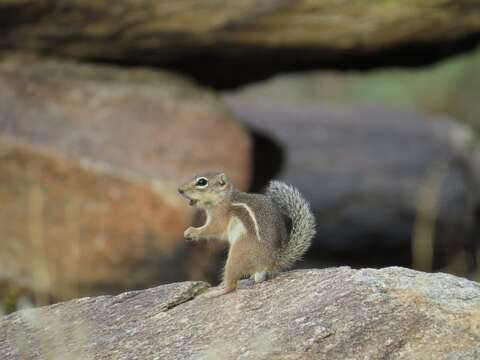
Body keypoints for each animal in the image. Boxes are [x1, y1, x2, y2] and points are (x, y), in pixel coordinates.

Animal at [176, 172, 316, 298]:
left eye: (202, 182)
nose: (180, 190)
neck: (224, 198)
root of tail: (273, 259)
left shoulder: (220, 216)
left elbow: (214, 229)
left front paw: (191, 231)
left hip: (238, 254)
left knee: (232, 286)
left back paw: (215, 292)